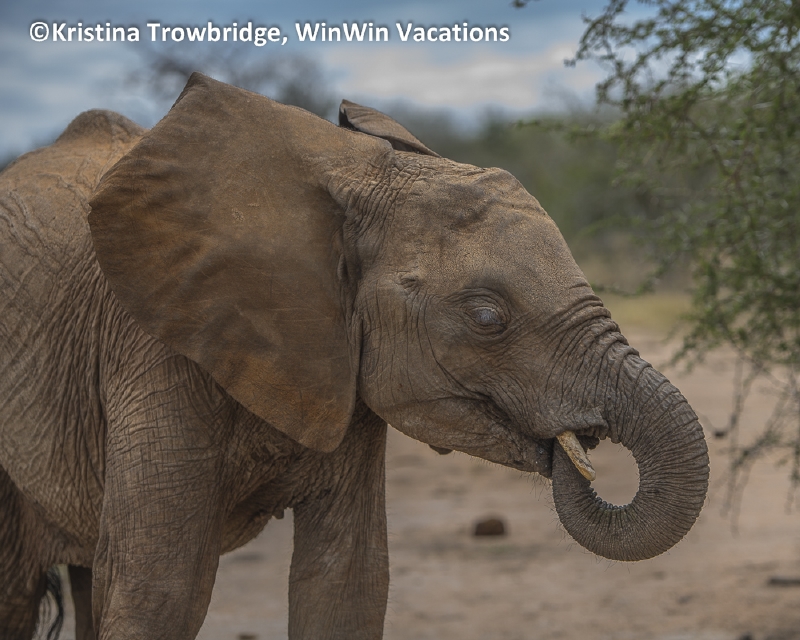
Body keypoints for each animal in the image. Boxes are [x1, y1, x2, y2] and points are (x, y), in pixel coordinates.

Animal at [0, 72, 709, 640]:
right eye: (487, 318)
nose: (579, 444)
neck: (345, 175)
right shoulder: (154, 350)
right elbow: (160, 591)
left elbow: (346, 583)